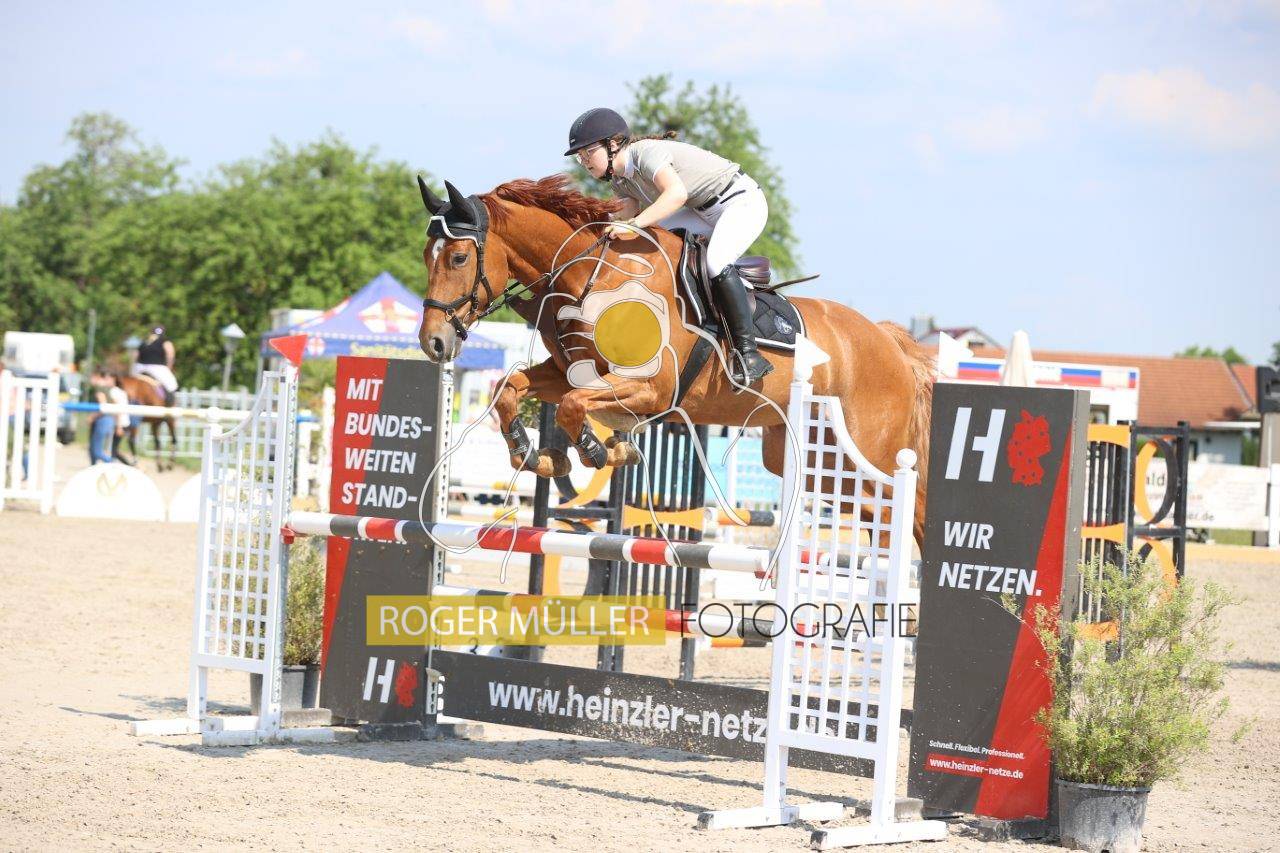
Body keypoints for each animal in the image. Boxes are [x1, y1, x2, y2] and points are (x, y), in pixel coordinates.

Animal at [415, 175, 934, 542]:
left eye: (458, 258)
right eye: (426, 255)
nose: (433, 343)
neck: (595, 274)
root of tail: (892, 344)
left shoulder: (651, 390)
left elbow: (574, 407)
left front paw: (601, 449)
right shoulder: (571, 373)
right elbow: (512, 389)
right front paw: (536, 455)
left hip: (873, 452)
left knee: (910, 509)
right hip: (813, 459)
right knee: (877, 516)